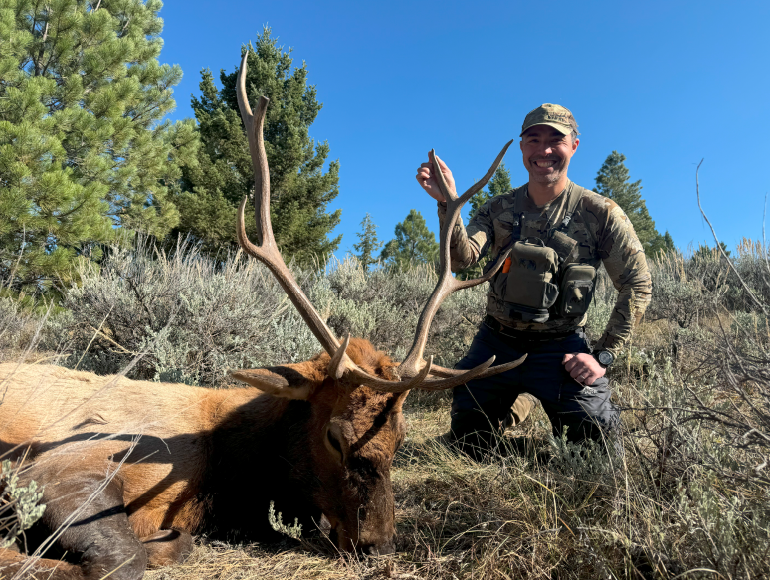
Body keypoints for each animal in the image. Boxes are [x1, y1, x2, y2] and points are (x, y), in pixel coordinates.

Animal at [0, 53, 520, 580]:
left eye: (400, 437)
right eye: (334, 437)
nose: (379, 545)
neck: (227, 466)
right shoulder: (67, 459)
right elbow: (123, 557)